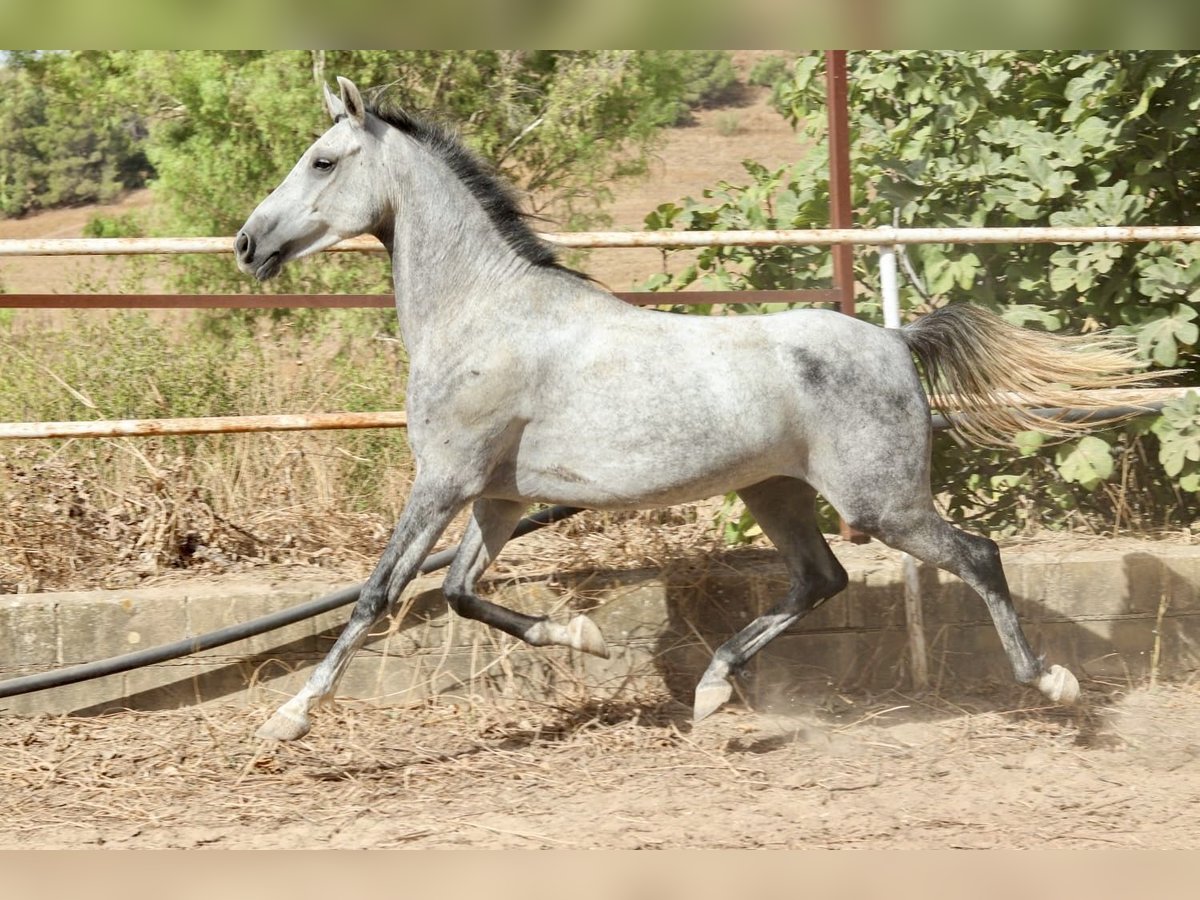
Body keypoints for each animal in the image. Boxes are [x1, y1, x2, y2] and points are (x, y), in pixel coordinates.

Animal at [236, 77, 1142, 744]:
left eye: (322, 162)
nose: (247, 245)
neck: (485, 314)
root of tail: (895, 340)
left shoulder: (444, 480)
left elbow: (378, 594)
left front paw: (288, 717)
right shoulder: (496, 497)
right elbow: (459, 592)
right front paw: (584, 637)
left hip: (882, 503)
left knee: (977, 556)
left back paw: (1053, 683)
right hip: (775, 492)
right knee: (821, 578)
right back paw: (710, 691)